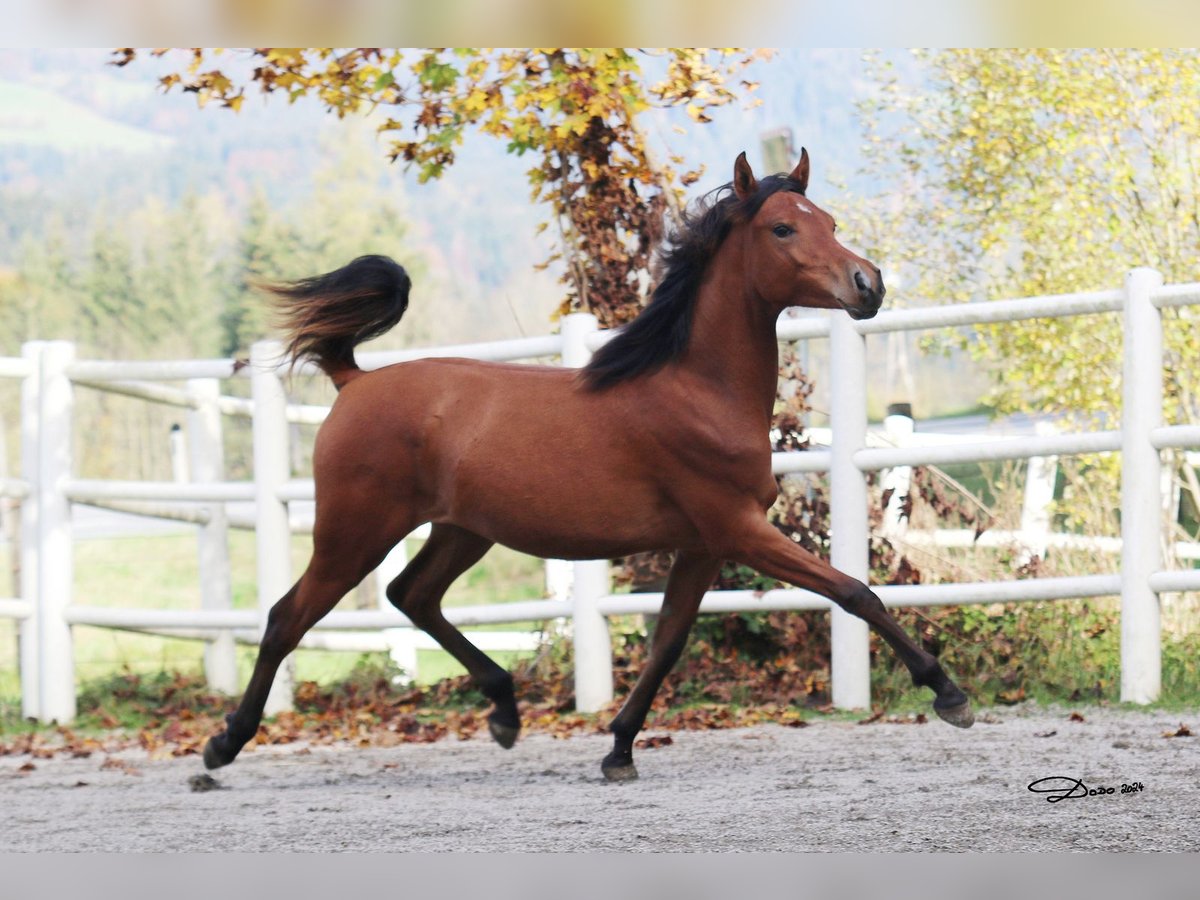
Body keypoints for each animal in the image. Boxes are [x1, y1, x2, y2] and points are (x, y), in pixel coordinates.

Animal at [204, 150, 974, 782]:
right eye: (783, 229)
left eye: (831, 221)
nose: (867, 285)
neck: (696, 389)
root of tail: (353, 381)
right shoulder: (738, 530)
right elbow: (855, 593)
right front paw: (951, 695)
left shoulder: (702, 545)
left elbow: (666, 643)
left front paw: (619, 750)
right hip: (354, 531)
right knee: (287, 617)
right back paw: (222, 747)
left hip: (462, 530)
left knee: (412, 596)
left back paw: (505, 712)